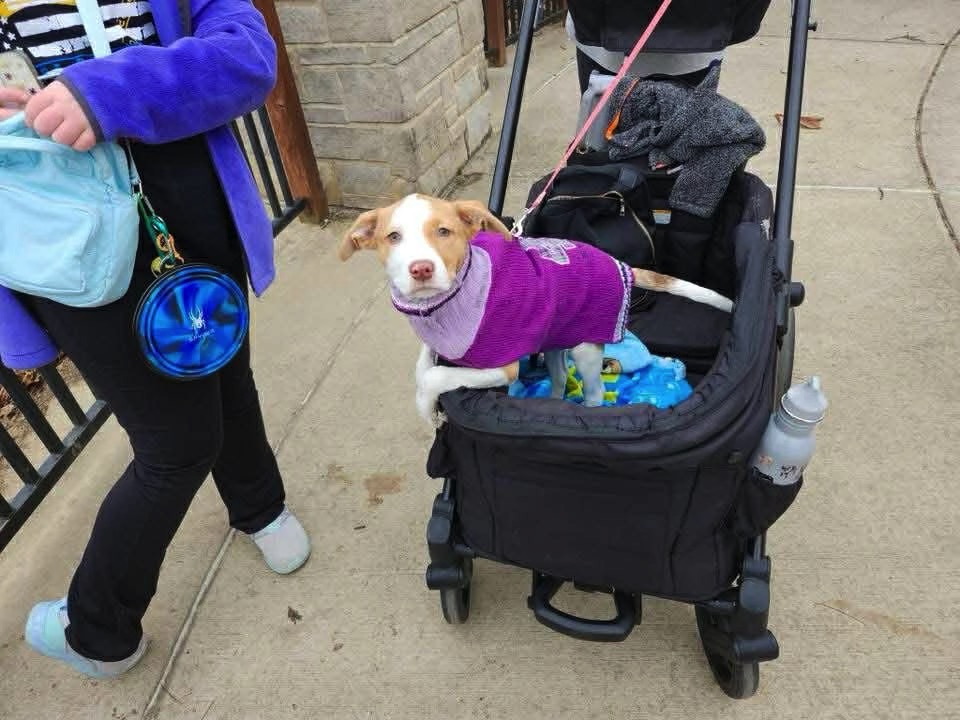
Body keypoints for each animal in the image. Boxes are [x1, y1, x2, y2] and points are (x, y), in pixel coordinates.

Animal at [339, 194, 733, 425]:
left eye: (444, 232)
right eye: (393, 237)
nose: (421, 269)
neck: (444, 305)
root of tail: (618, 264)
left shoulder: (502, 366)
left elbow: (435, 376)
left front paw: (425, 407)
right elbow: (424, 364)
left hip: (586, 350)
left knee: (592, 392)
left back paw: (586, 414)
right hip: (555, 339)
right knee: (558, 379)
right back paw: (551, 404)